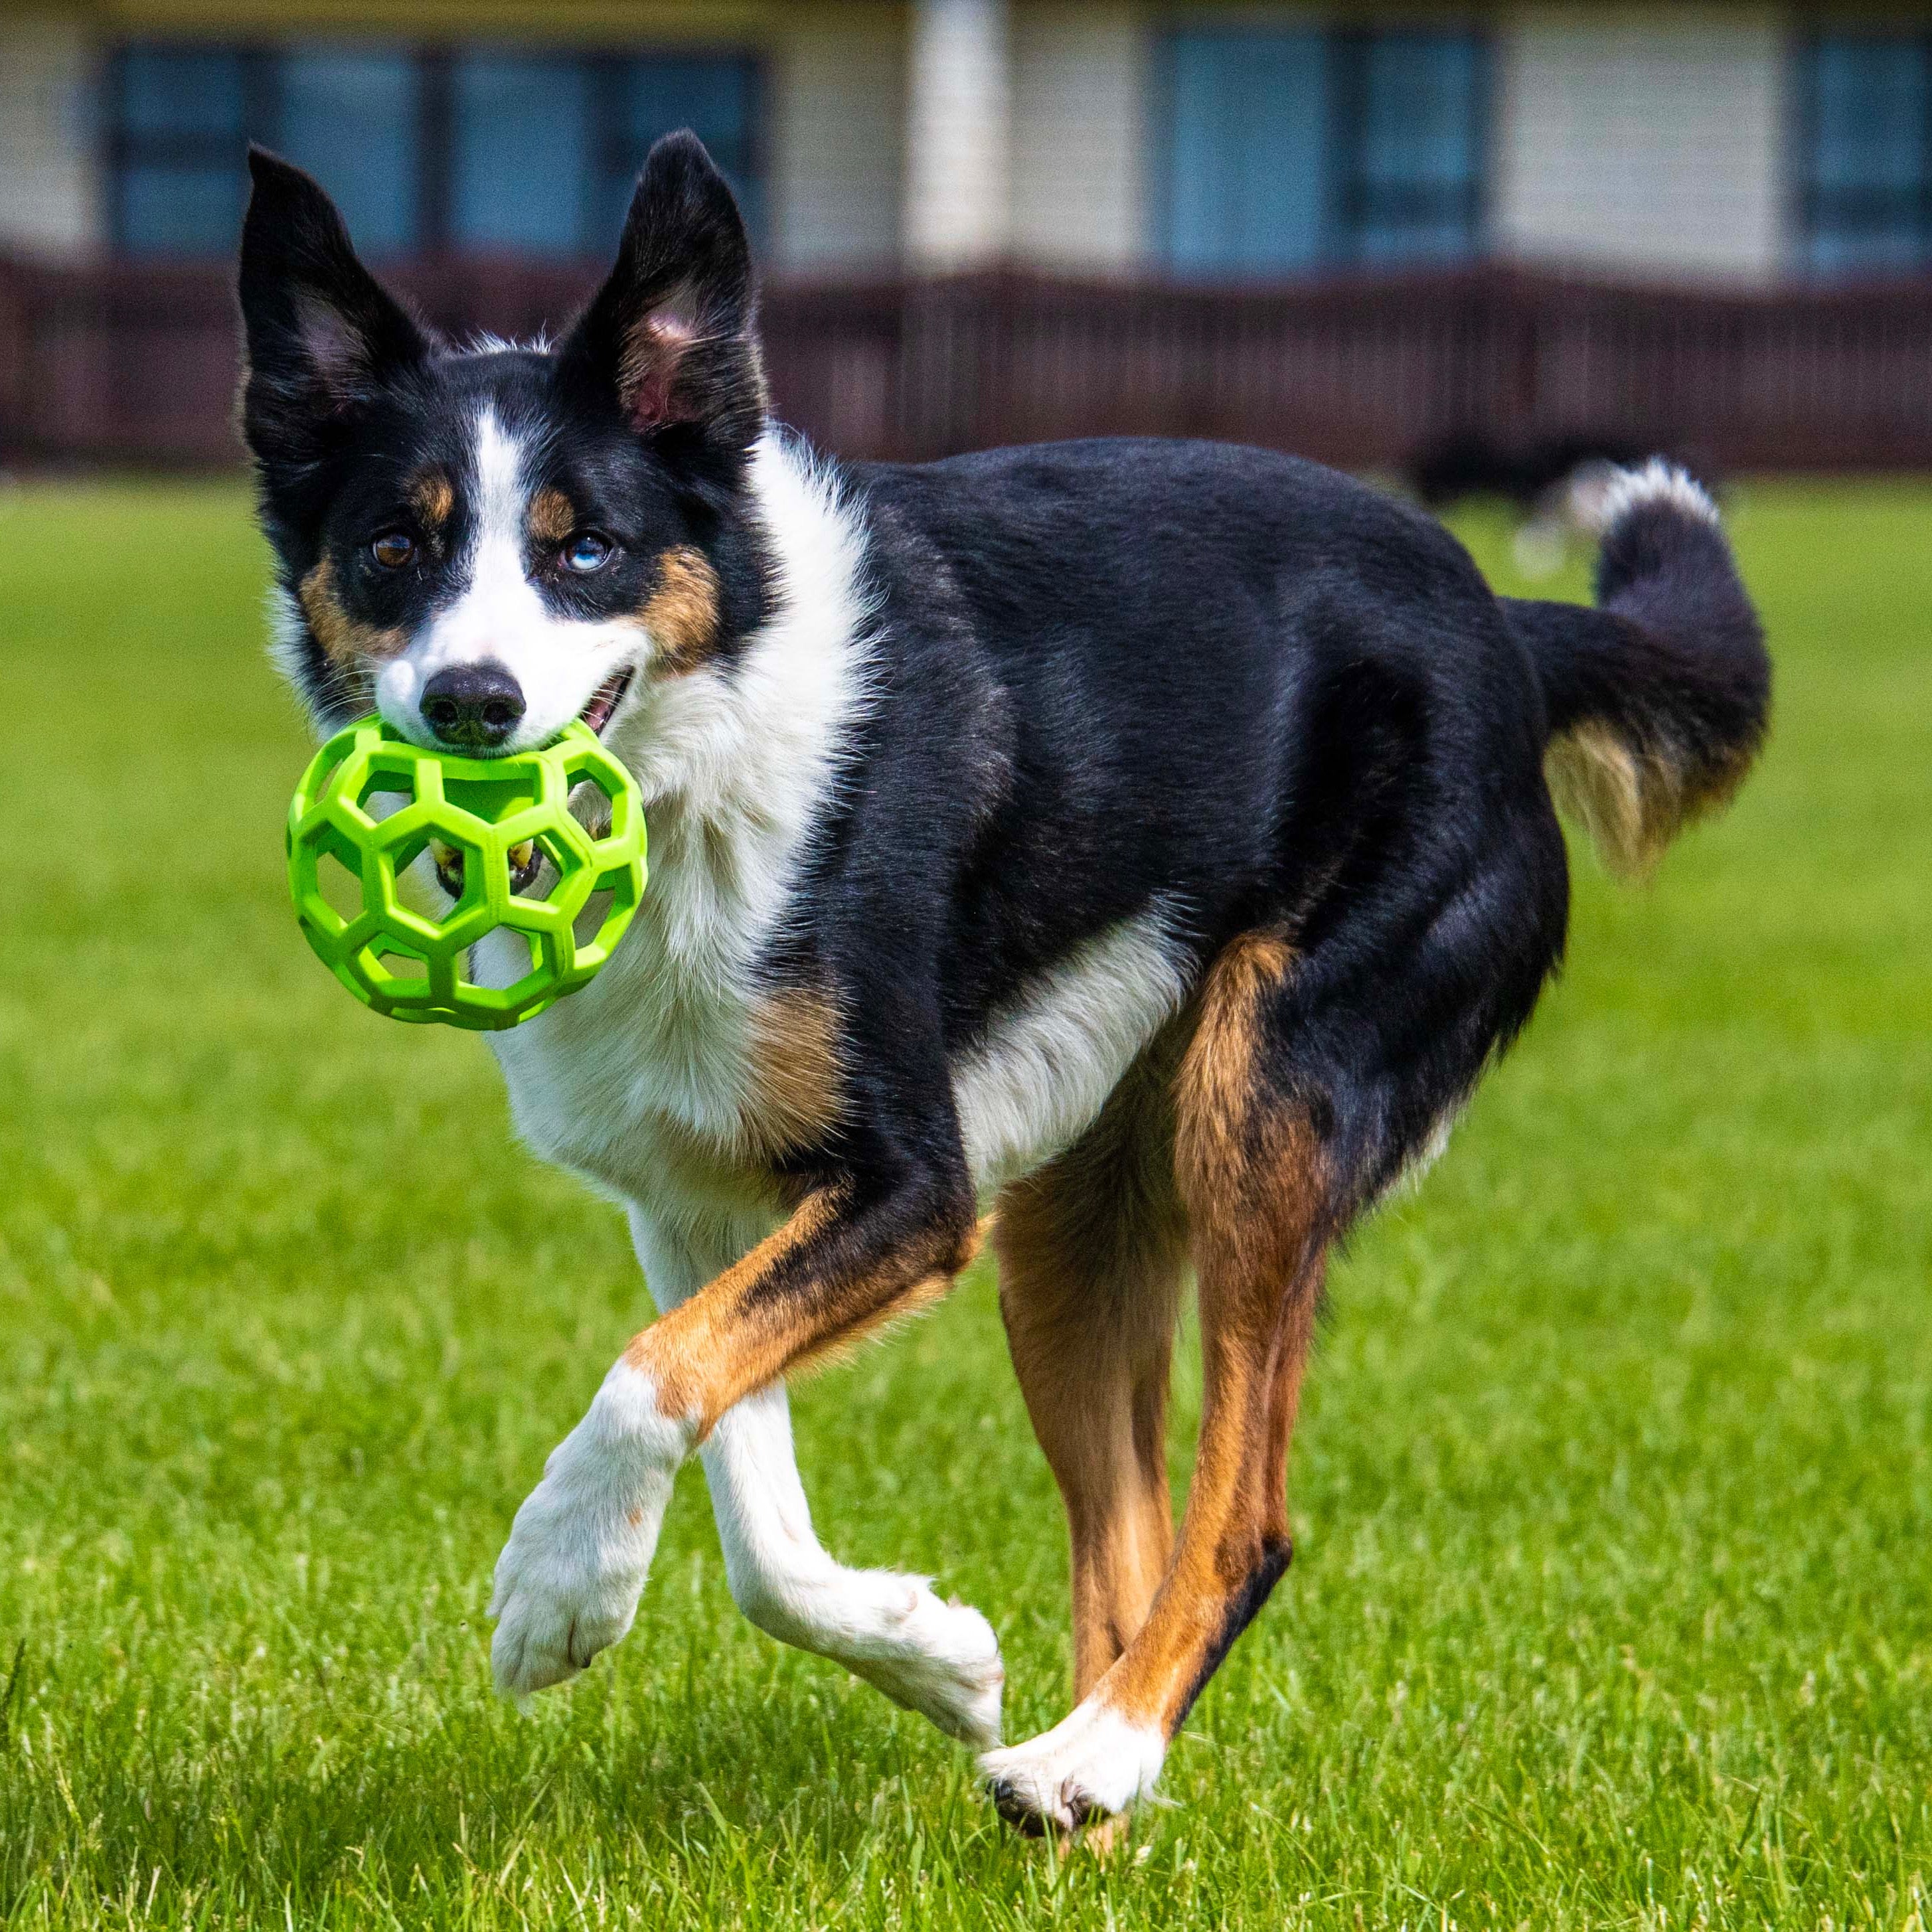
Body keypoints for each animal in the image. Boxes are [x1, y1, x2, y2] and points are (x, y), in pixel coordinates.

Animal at [230, 132, 1769, 1824]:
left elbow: (651, 1377)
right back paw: (1080, 1784)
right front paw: (935, 1654)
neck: (698, 769)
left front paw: (553, 1593)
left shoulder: (913, 1183)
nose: (471, 702)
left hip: (1269, 1089)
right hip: (1069, 1213)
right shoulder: (698, 1190)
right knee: (1130, 1534)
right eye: (394, 547)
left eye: (587, 548)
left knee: (1246, 1514)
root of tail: (1508, 626)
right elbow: (739, 1479)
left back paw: (1101, 1752)